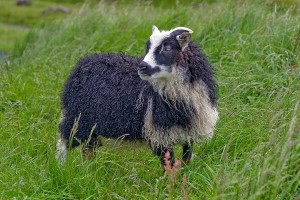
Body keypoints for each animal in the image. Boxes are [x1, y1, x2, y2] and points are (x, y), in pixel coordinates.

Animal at [55, 25, 218, 167]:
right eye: (148, 48)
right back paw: (61, 169)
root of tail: (83, 63)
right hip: (77, 118)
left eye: (167, 48)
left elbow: (186, 158)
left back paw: (88, 171)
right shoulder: (159, 135)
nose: (142, 67)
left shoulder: (189, 132)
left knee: (88, 150)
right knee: (64, 143)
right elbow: (169, 165)